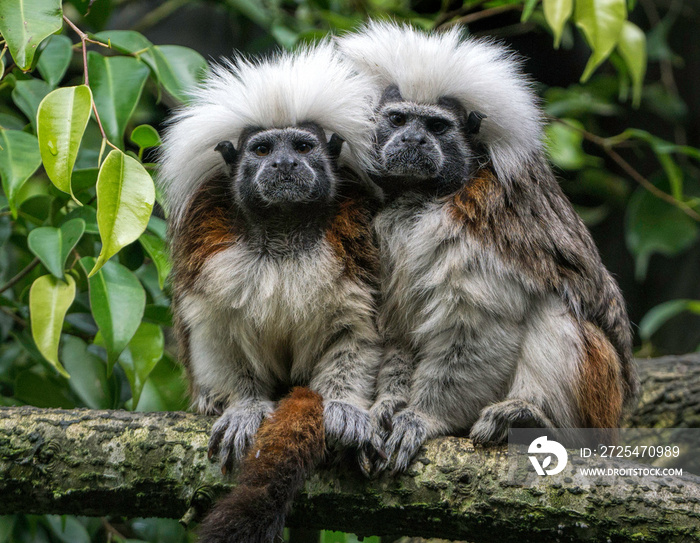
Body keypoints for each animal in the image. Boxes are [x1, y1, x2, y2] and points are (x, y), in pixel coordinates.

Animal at [158, 44, 380, 540]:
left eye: (302, 146)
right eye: (262, 150)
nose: (283, 165)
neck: (283, 235)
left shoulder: (358, 246)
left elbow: (358, 331)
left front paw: (344, 407)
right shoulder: (209, 248)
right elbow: (213, 331)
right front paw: (242, 407)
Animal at [336, 22, 636, 472]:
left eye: (437, 127)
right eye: (399, 119)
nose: (413, 140)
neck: (421, 197)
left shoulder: (475, 224)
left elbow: (478, 328)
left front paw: (424, 417)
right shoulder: (381, 236)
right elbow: (400, 330)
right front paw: (386, 406)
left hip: (602, 400)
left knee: (556, 309)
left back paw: (536, 419)